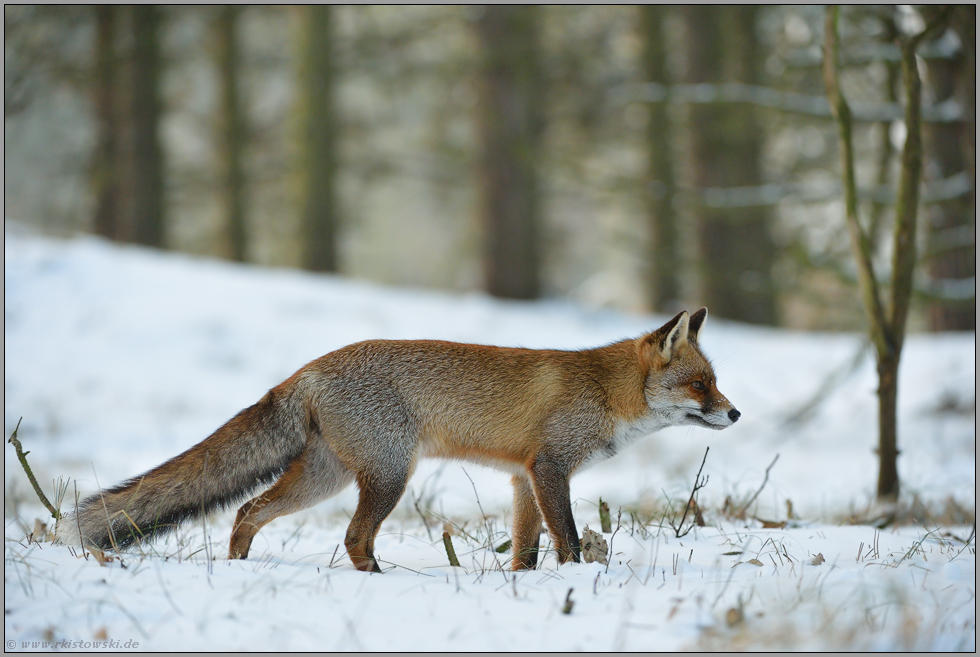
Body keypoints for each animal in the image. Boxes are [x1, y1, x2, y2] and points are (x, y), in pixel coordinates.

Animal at [55, 308, 736, 568]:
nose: (734, 414)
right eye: (701, 384)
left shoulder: (524, 477)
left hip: (325, 479)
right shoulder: (550, 469)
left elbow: (526, 549)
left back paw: (238, 566)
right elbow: (566, 540)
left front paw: (527, 588)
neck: (606, 393)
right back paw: (379, 579)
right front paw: (576, 584)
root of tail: (309, 368)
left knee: (249, 509)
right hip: (387, 476)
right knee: (355, 538)